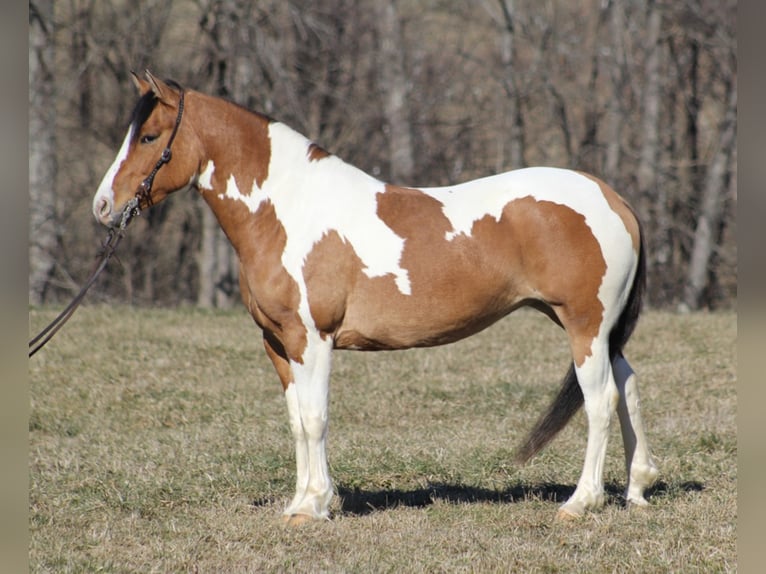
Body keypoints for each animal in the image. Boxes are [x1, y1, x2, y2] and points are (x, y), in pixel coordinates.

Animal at [91, 71, 660, 528]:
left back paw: (581, 502)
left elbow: (316, 417)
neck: (288, 211)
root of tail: (613, 199)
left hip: (584, 325)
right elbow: (297, 420)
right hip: (597, 330)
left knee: (600, 400)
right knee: (627, 385)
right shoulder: (278, 344)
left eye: (149, 136)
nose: (103, 207)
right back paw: (637, 488)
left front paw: (315, 506)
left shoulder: (313, 340)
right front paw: (301, 502)